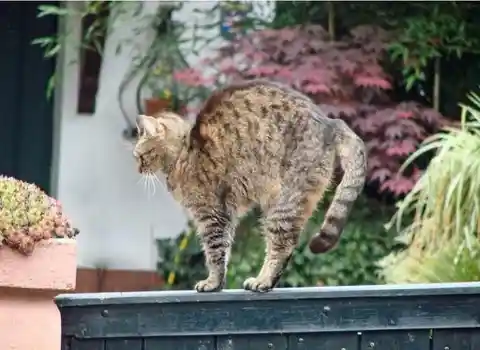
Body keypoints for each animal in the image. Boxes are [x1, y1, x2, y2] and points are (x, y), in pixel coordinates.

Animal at [133, 79, 366, 292]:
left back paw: (263, 280)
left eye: (139, 156)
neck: (184, 150)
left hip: (284, 204)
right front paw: (219, 282)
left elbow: (214, 252)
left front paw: (212, 282)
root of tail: (331, 122)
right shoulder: (224, 215)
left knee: (282, 246)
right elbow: (224, 250)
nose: (138, 169)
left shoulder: (210, 214)